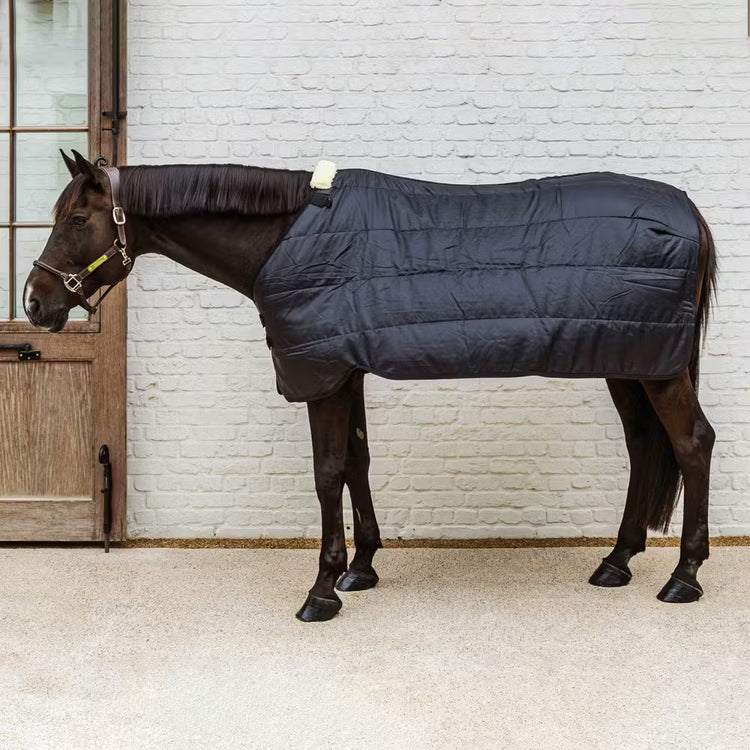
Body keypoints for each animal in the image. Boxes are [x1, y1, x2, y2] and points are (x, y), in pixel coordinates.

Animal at [24, 150, 717, 622]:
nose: (34, 302)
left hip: (656, 367)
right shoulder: (343, 368)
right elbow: (356, 461)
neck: (287, 238)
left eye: (78, 218)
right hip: (631, 359)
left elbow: (328, 471)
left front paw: (321, 589)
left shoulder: (322, 375)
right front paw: (360, 569)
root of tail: (688, 211)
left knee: (691, 444)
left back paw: (683, 577)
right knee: (643, 446)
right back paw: (617, 561)